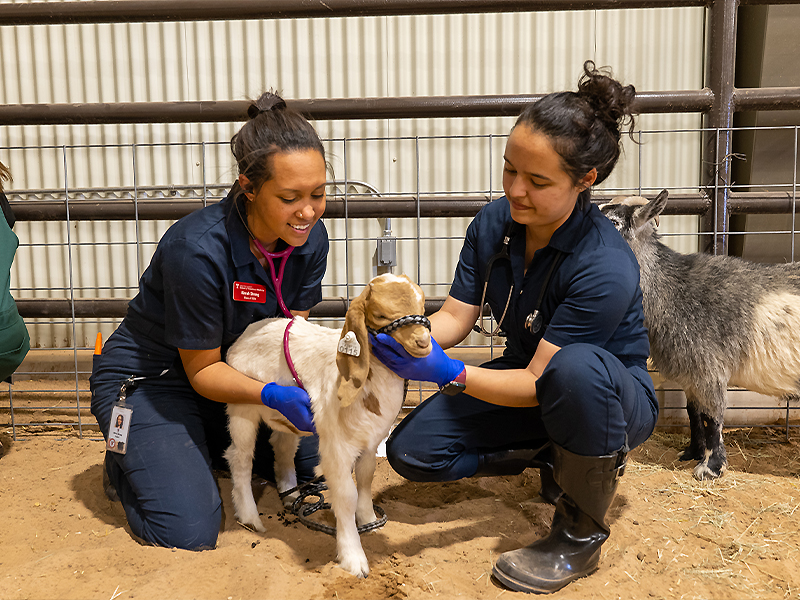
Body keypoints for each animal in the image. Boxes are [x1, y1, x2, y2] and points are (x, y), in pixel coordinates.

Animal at [222, 274, 434, 580]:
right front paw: (353, 558)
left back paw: (292, 496)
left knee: (282, 448)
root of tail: (247, 333)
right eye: (381, 315)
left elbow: (366, 480)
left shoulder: (369, 442)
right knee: (240, 457)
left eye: (422, 305)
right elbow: (345, 495)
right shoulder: (336, 446)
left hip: (289, 415)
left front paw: (369, 520)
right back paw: (250, 517)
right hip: (242, 407)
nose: (423, 342)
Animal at [600, 190, 800, 480]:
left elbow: (713, 418)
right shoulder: (691, 373)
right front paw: (692, 452)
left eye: (614, 222)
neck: (672, 290)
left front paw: (711, 467)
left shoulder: (709, 369)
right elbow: (693, 413)